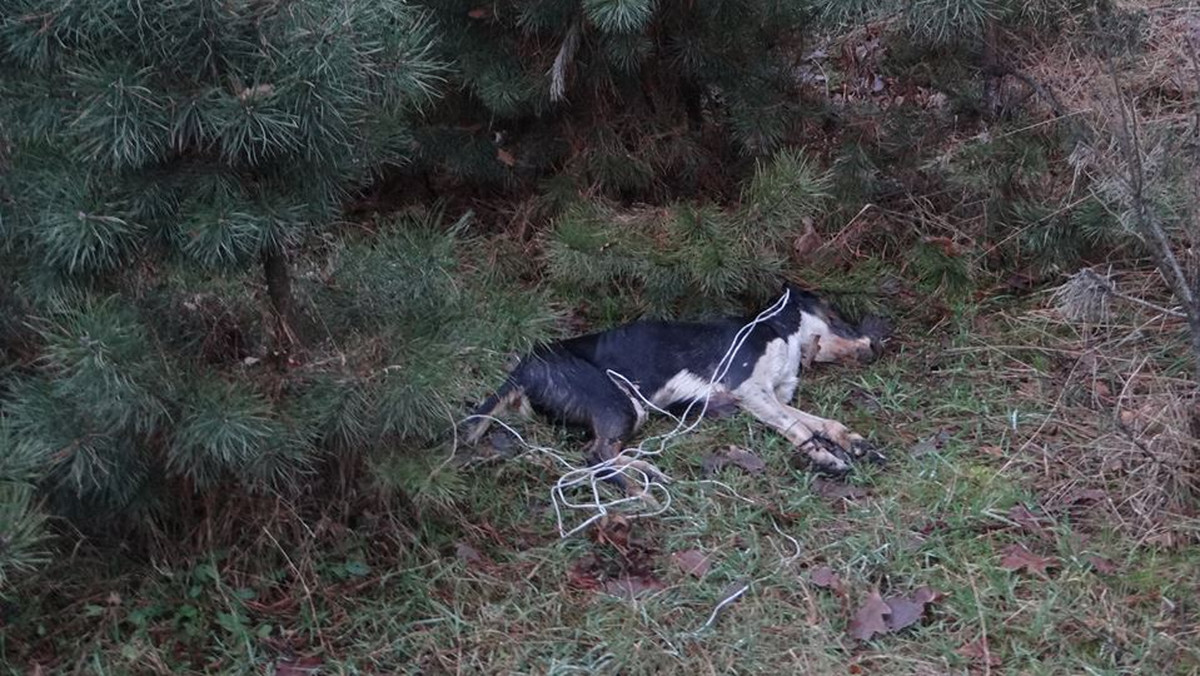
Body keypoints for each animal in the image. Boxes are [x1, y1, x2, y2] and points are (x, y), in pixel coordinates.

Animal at [463, 283, 888, 477]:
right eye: (836, 316)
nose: (875, 345)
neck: (776, 330)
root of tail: (524, 365)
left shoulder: (771, 398)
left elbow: (822, 423)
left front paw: (854, 442)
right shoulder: (749, 390)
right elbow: (799, 428)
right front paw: (826, 457)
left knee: (599, 454)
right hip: (620, 403)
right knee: (596, 455)